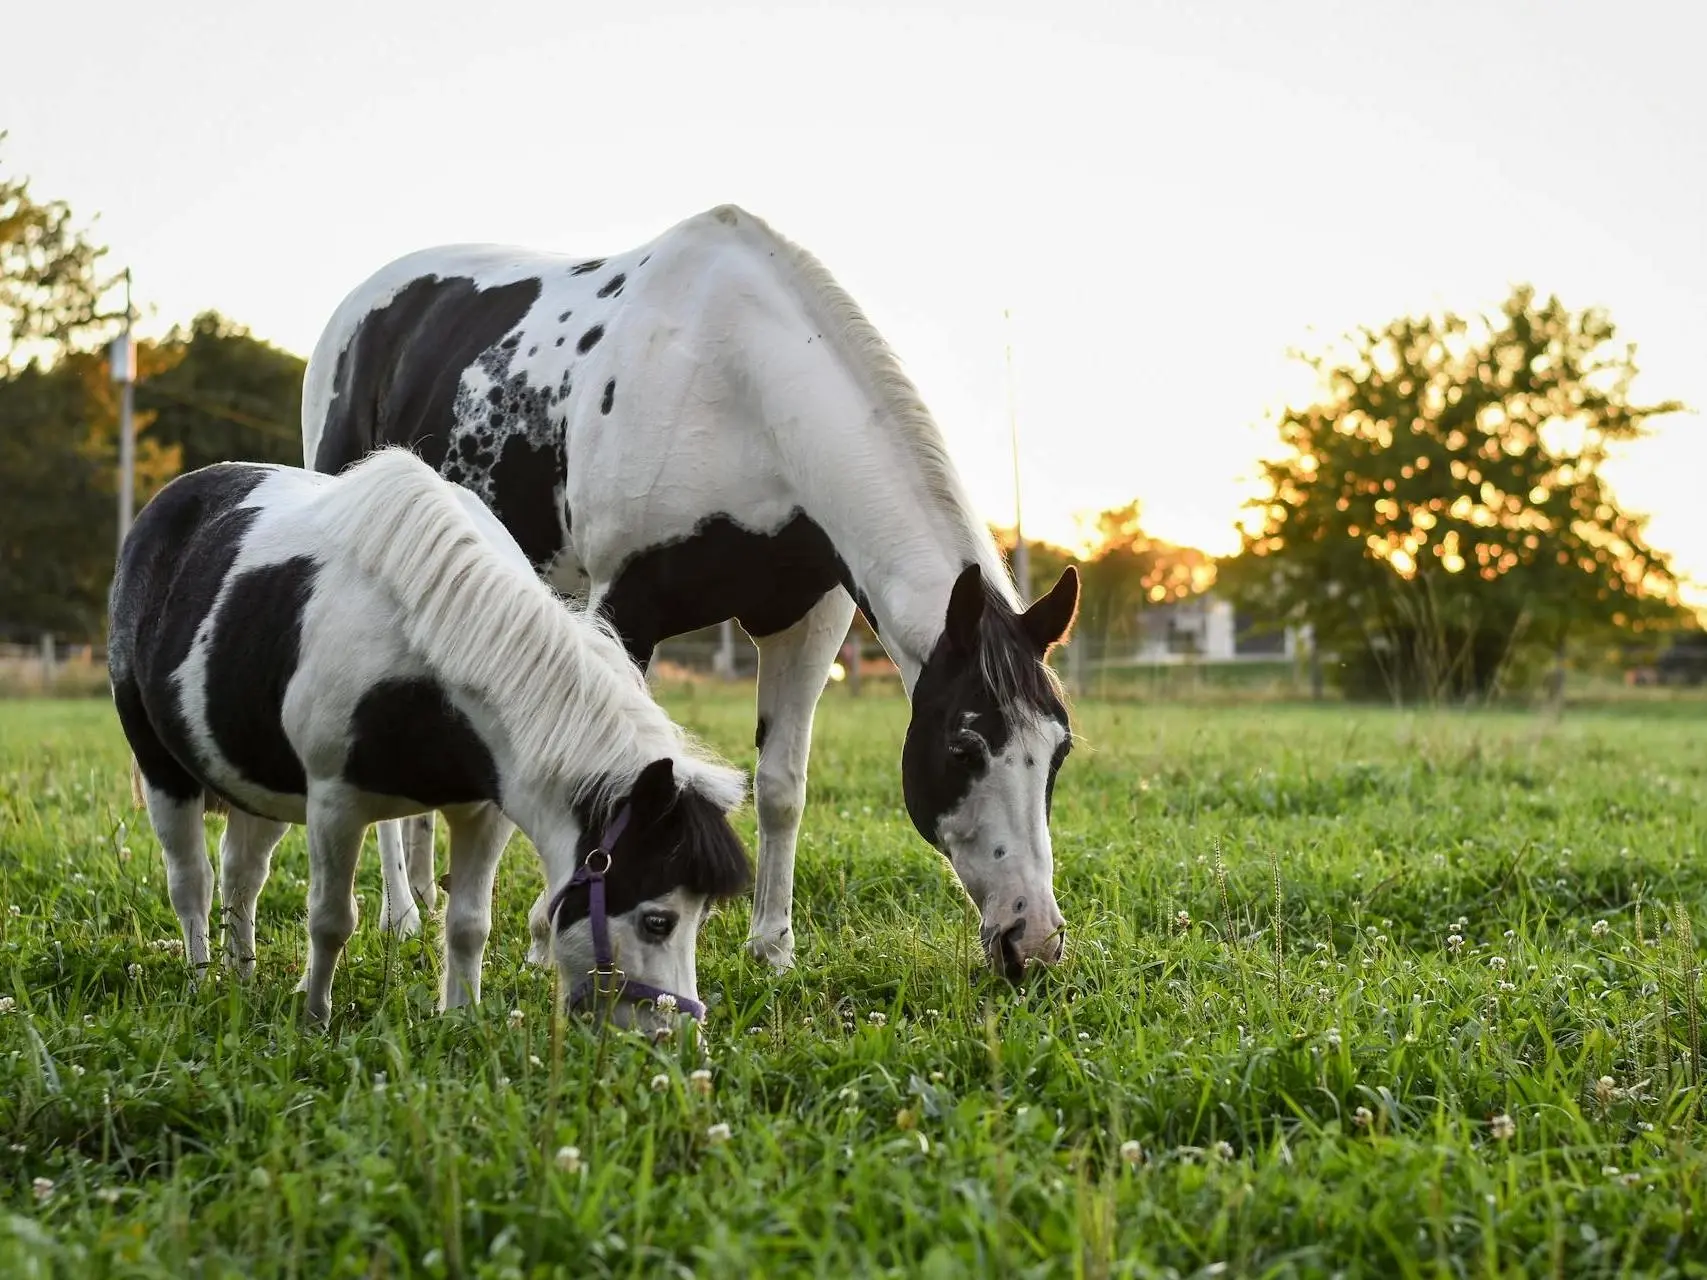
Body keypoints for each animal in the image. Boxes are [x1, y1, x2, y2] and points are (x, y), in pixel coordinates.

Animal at [106, 447, 747, 1030]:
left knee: (242, 877)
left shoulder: (485, 811)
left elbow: (468, 924)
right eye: (659, 920)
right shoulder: (334, 805)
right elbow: (331, 919)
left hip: (254, 782)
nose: (673, 1035)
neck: (430, 651)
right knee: (192, 882)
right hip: (163, 769)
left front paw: (461, 1017)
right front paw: (315, 1017)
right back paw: (201, 979)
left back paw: (241, 976)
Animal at [303, 203, 1078, 983]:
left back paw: (425, 900)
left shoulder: (806, 623)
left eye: (1060, 751)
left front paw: (772, 947)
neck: (739, 383)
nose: (1033, 940)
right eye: (963, 747)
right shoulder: (624, 610)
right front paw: (546, 938)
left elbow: (781, 788)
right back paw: (401, 914)